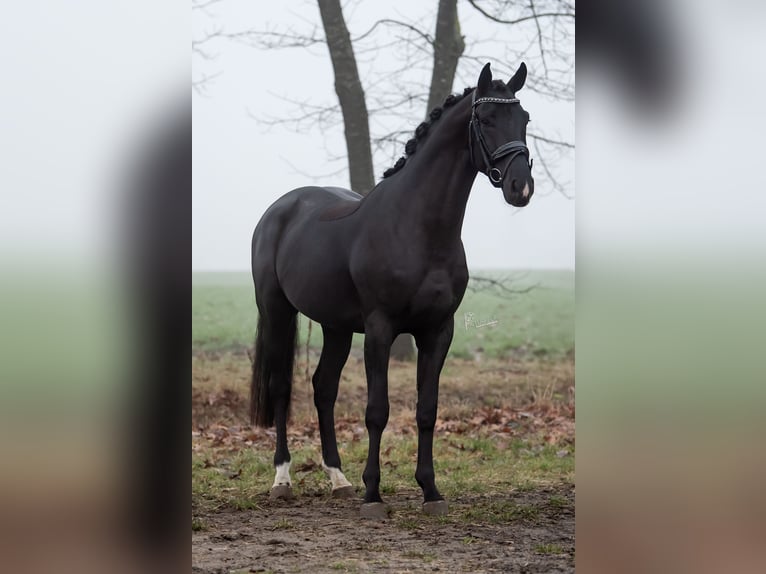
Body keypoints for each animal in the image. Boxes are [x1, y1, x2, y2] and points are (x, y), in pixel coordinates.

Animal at [250, 62, 534, 519]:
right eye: (487, 119)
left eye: (524, 119)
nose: (520, 188)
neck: (418, 229)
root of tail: (282, 208)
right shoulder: (380, 330)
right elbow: (376, 411)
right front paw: (373, 495)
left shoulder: (437, 331)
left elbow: (426, 410)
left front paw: (430, 491)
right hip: (277, 310)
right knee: (281, 387)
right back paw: (283, 479)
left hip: (336, 327)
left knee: (323, 388)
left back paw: (338, 479)